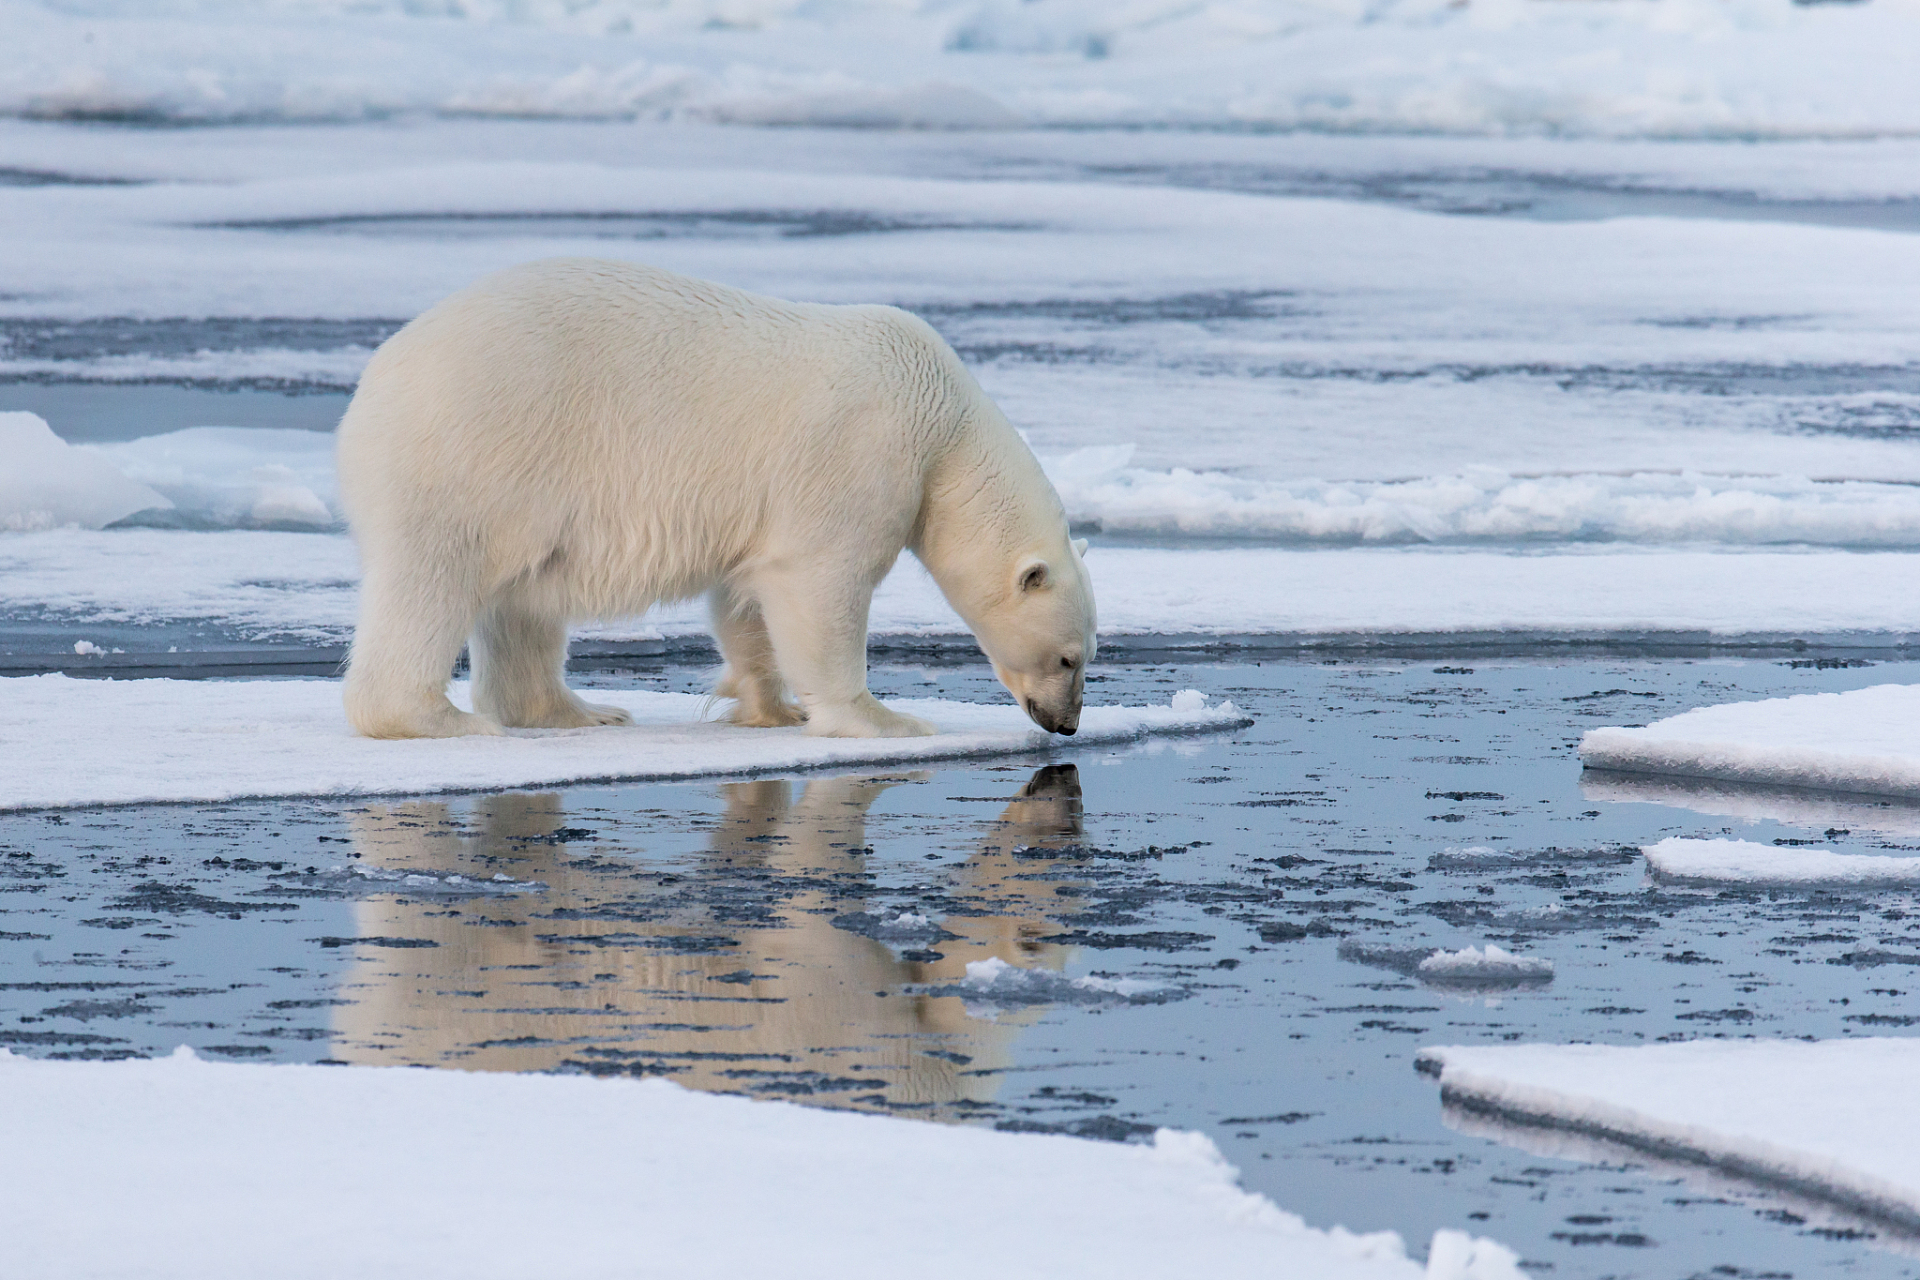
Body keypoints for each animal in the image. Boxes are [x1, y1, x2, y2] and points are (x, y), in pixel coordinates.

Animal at [336, 258, 1096, 742]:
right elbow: (820, 587)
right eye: (1069, 658)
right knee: (433, 583)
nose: (1066, 722)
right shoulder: (859, 456)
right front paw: (885, 720)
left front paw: (769, 707)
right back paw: (443, 720)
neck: (941, 424)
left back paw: (579, 712)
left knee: (522, 606)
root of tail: (373, 382)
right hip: (475, 453)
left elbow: (746, 596)